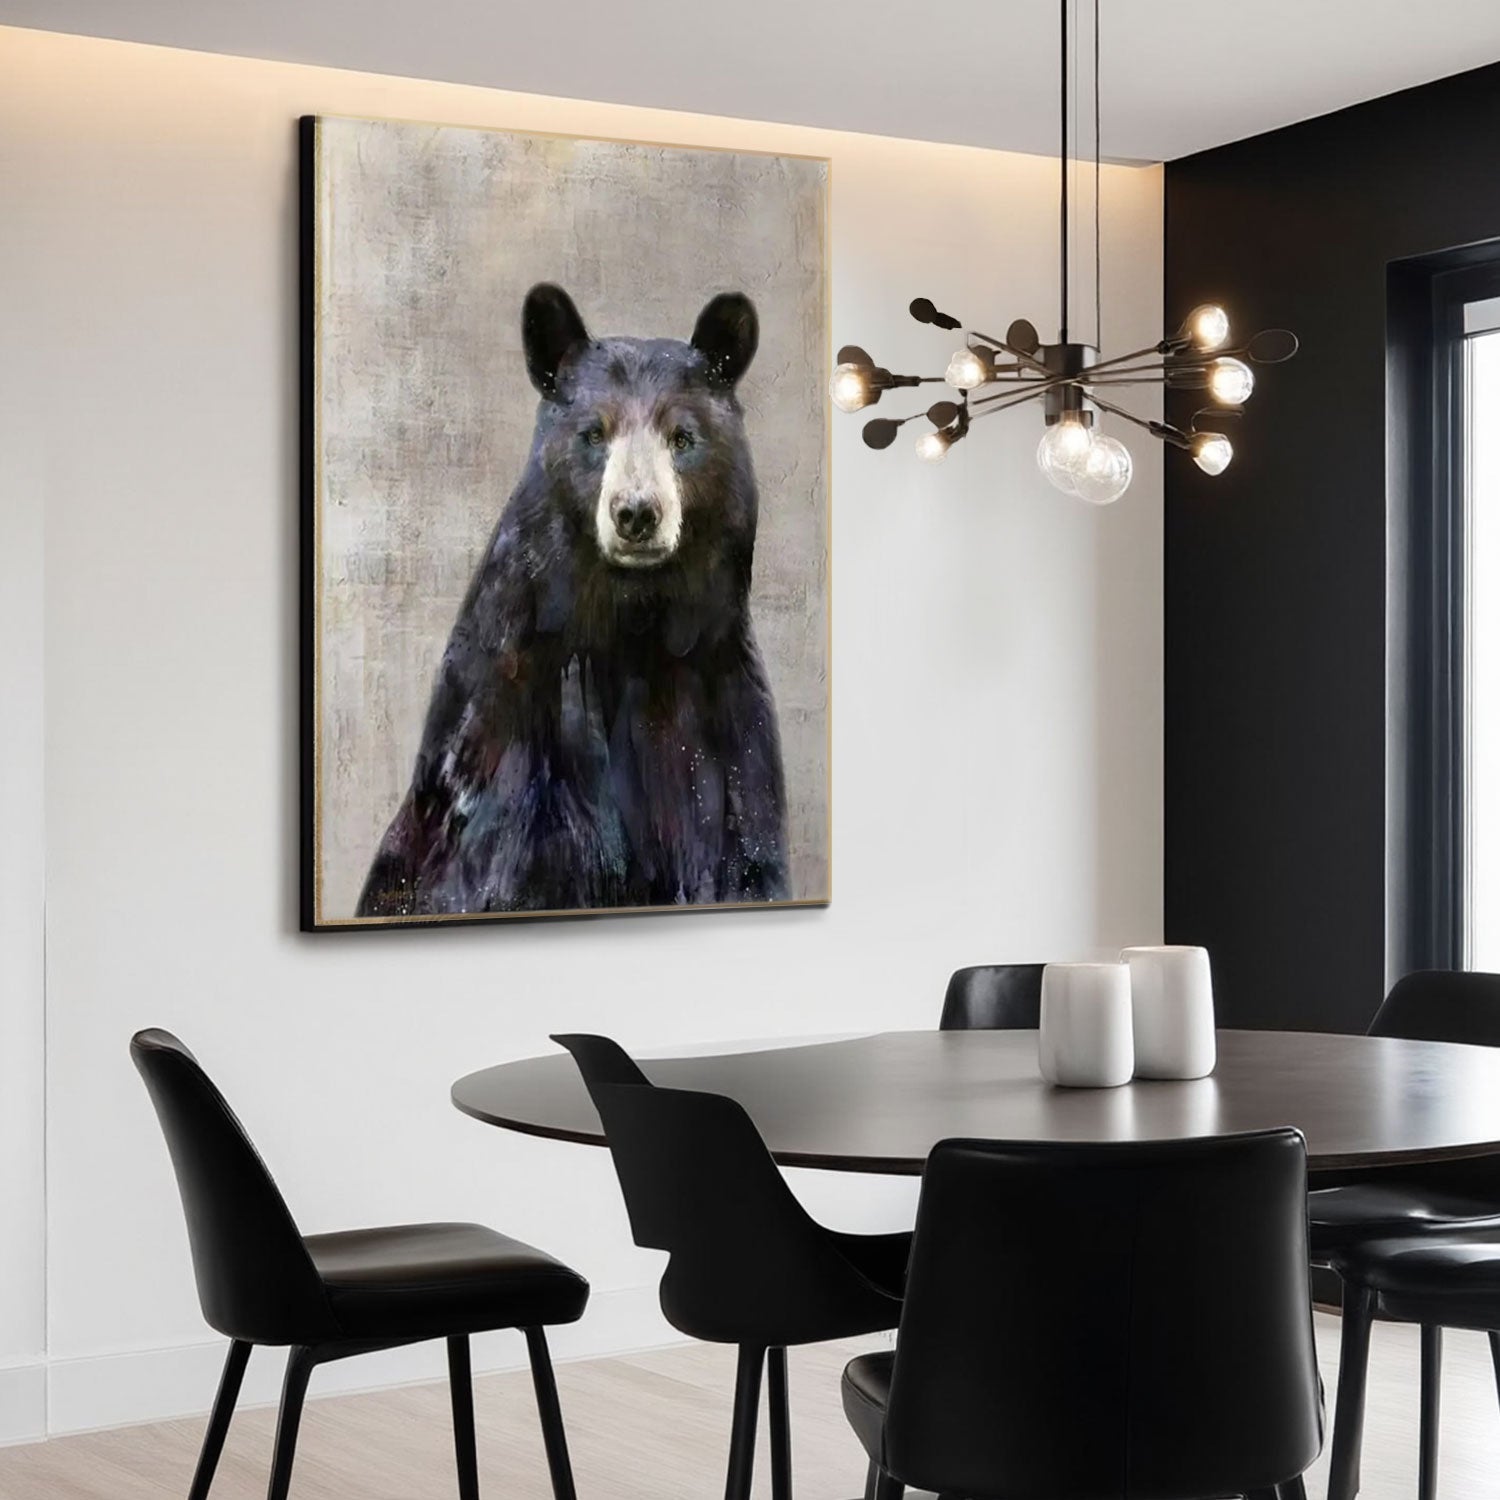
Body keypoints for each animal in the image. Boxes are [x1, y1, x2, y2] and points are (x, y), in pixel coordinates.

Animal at [356, 283, 791, 918]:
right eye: (593, 433)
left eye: (682, 437)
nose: (636, 513)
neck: (631, 622)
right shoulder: (505, 735)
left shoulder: (725, 721)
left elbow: (743, 852)